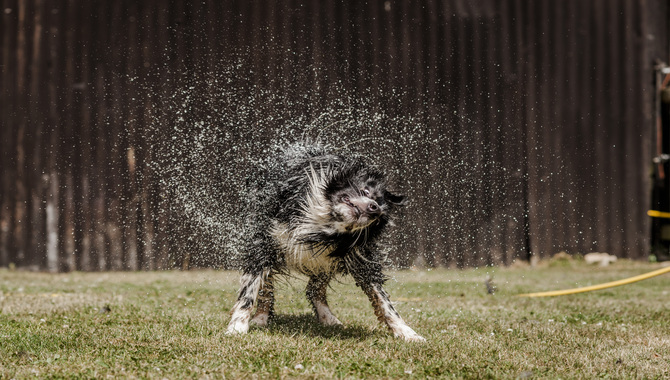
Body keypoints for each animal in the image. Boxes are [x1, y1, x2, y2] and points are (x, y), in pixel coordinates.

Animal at [226, 142, 426, 342]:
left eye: (377, 219)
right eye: (366, 191)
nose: (374, 208)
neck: (323, 223)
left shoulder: (357, 257)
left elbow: (383, 300)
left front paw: (408, 333)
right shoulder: (264, 242)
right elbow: (250, 291)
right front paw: (237, 326)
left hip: (324, 262)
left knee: (314, 289)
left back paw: (327, 317)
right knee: (268, 288)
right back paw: (261, 317)